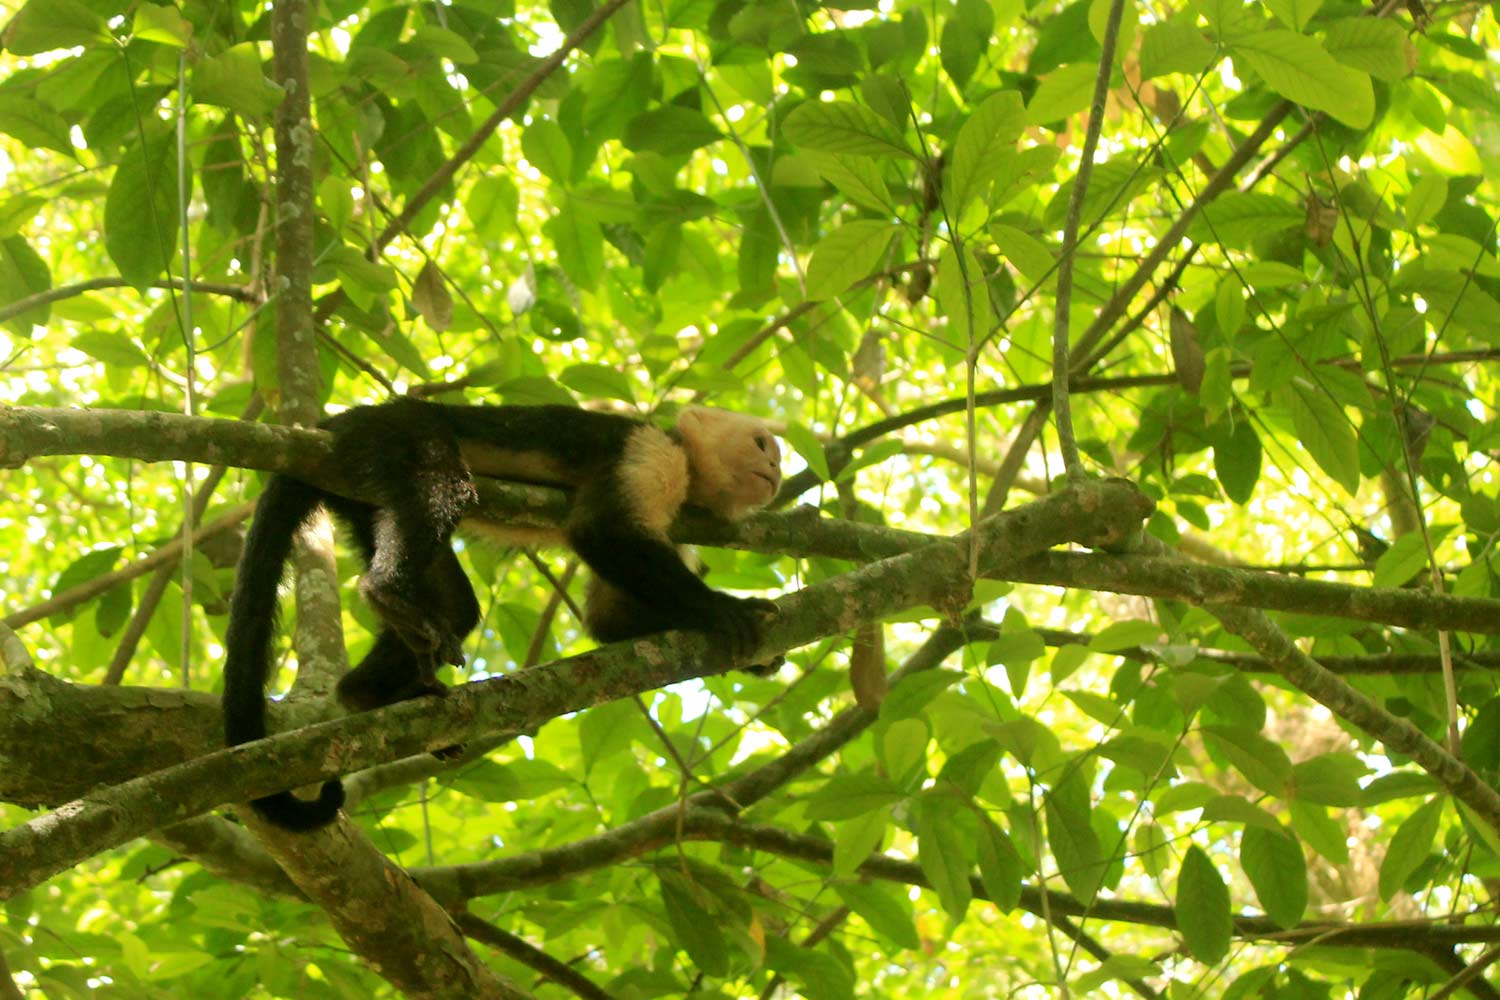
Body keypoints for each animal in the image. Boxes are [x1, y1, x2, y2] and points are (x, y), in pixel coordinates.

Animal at [222, 399, 783, 831]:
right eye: (761, 445)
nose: (778, 471)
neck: (688, 471)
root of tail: (339, 423)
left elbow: (608, 620)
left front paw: (756, 657)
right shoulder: (650, 454)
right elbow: (600, 530)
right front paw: (726, 609)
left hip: (359, 494)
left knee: (456, 607)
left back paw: (367, 692)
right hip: (396, 435)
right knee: (443, 484)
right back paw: (387, 592)